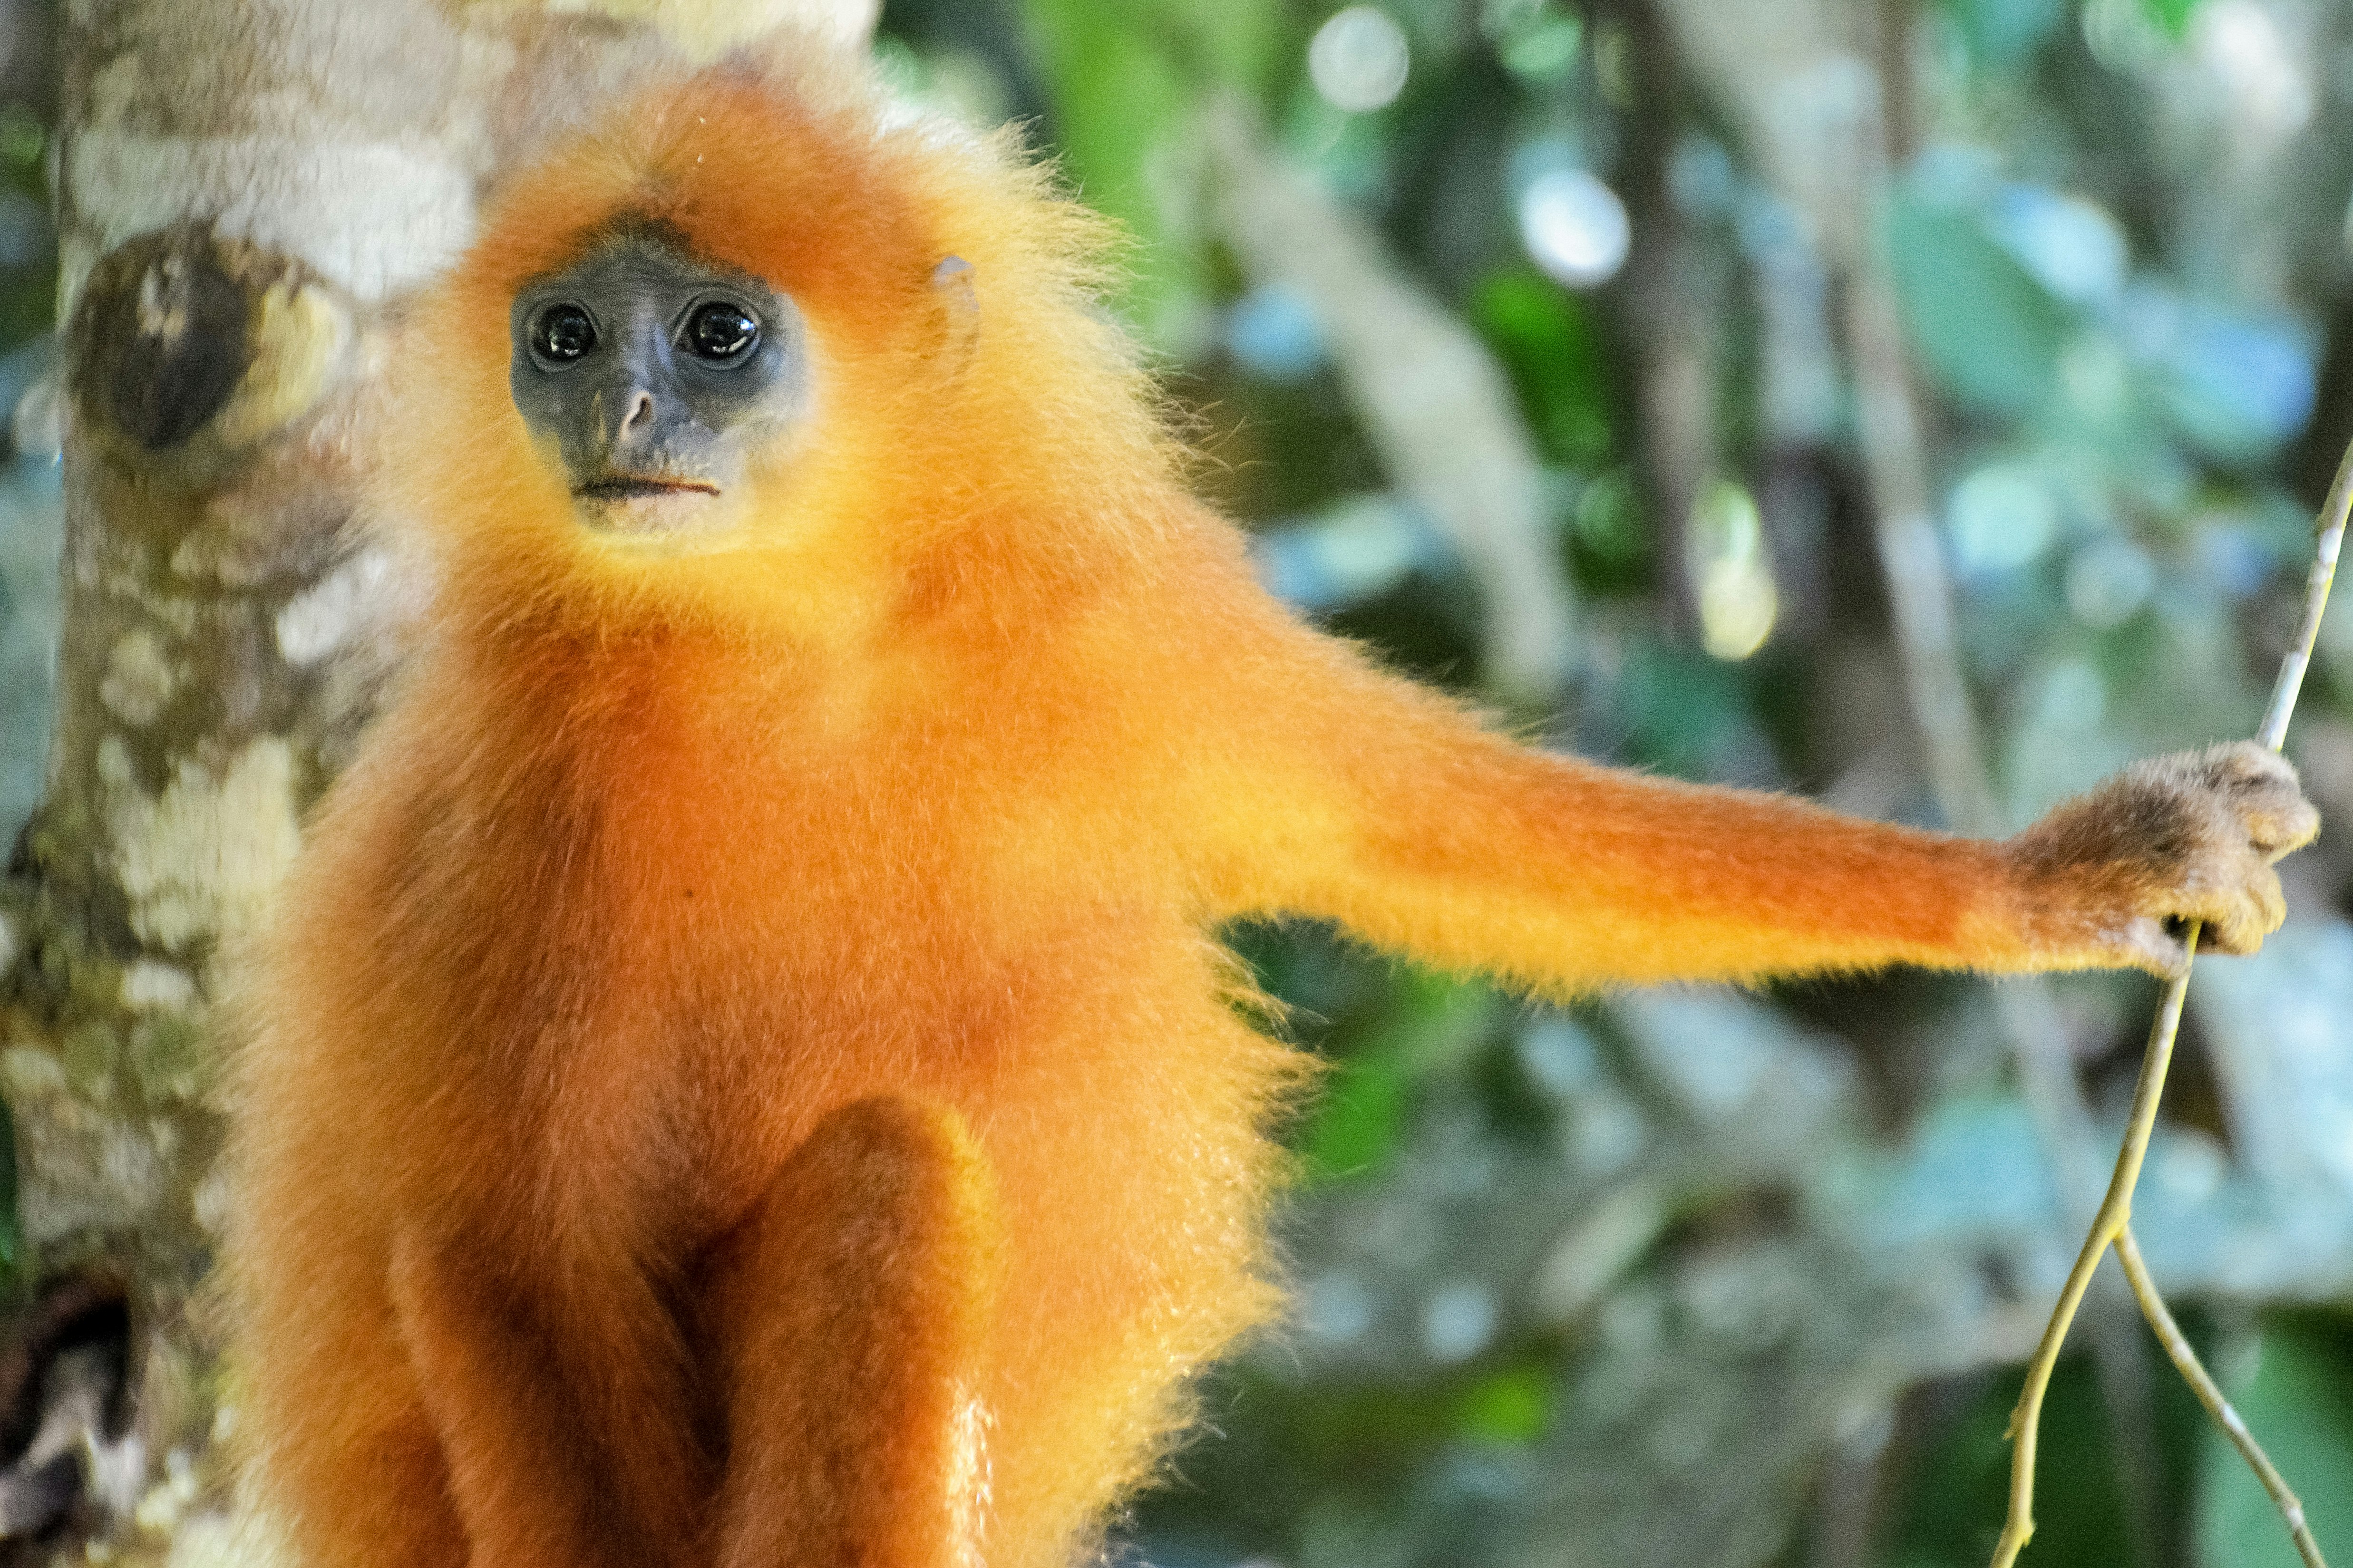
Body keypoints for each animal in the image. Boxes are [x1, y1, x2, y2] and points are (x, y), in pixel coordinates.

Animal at [229, 43, 2324, 1568]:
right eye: (569, 336)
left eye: (714, 335)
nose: (618, 421)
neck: (801, 642)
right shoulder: (508, 795)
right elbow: (501, 1239)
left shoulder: (1136, 638)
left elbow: (1430, 831)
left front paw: (2066, 873)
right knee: (855, 1176)